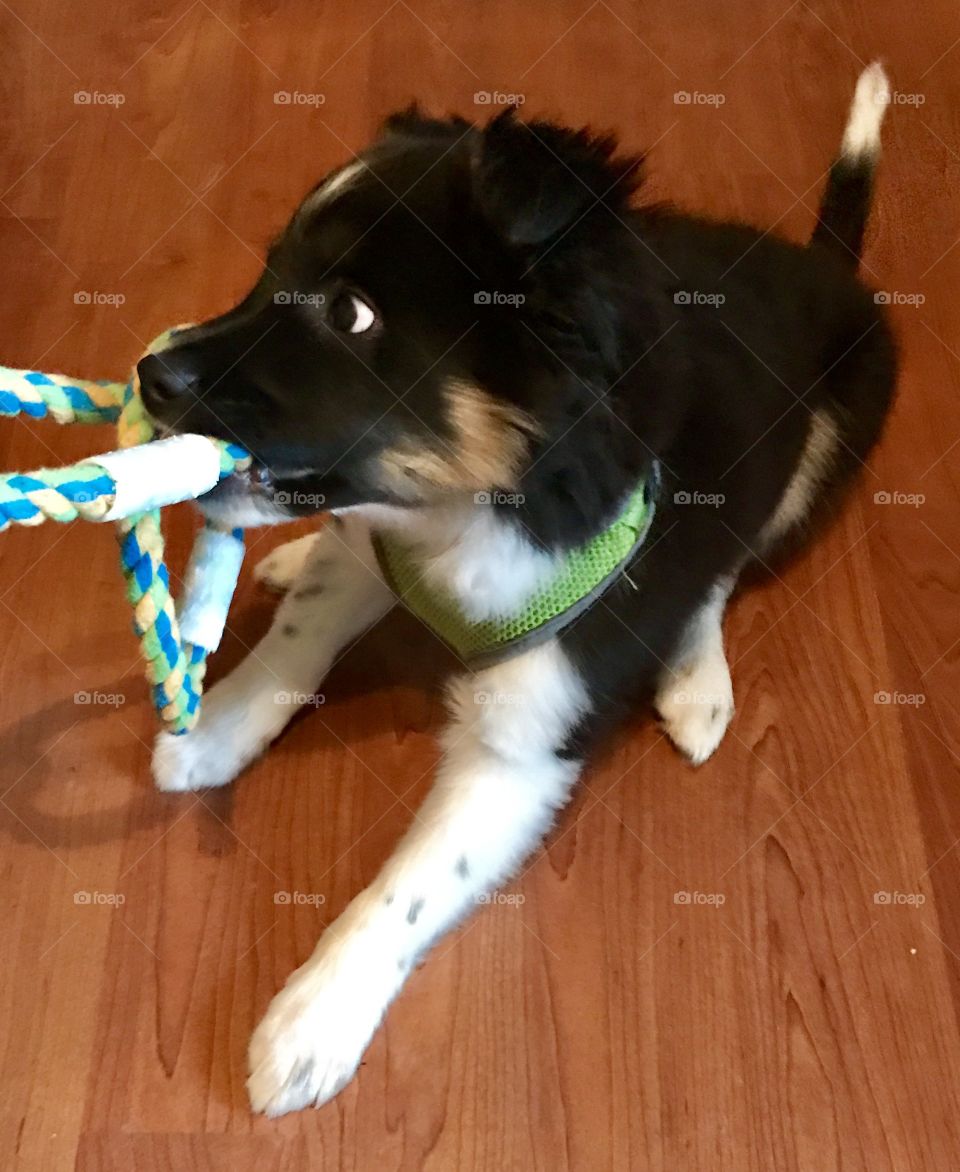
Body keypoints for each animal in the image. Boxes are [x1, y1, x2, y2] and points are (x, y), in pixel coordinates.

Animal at [138, 66, 895, 1115]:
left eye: (351, 314)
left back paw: (695, 679)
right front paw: (212, 733)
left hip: (824, 447)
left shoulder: (521, 749)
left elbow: (409, 886)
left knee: (722, 568)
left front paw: (312, 1020)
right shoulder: (376, 536)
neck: (473, 508)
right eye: (270, 270)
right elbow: (301, 633)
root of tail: (831, 269)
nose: (150, 370)